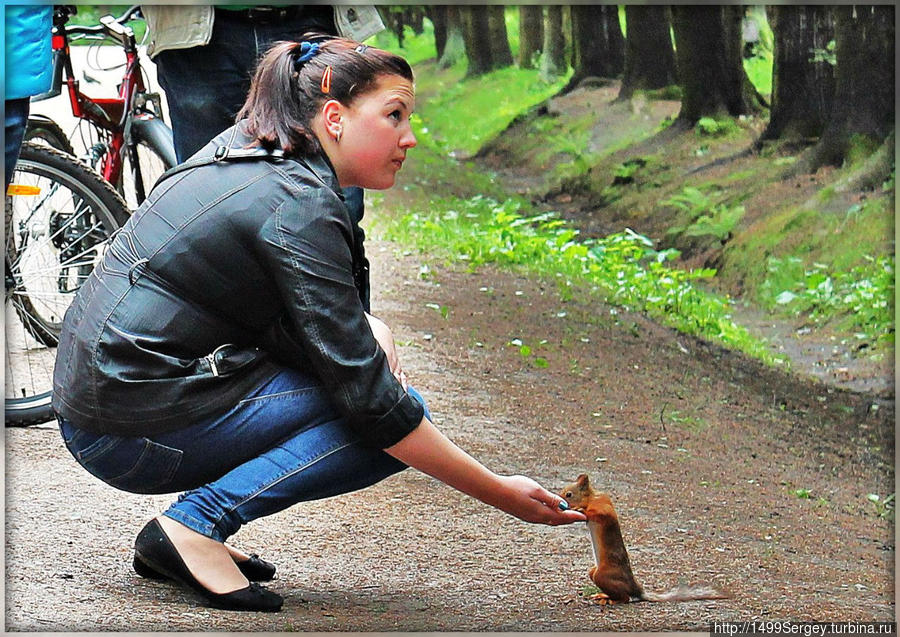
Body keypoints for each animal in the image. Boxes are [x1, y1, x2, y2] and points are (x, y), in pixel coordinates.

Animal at [556, 474, 732, 604]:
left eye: (569, 494)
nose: (560, 500)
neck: (591, 498)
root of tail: (636, 588)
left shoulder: (604, 506)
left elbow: (598, 513)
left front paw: (580, 509)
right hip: (594, 572)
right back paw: (604, 595)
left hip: (603, 575)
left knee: (626, 598)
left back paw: (612, 600)